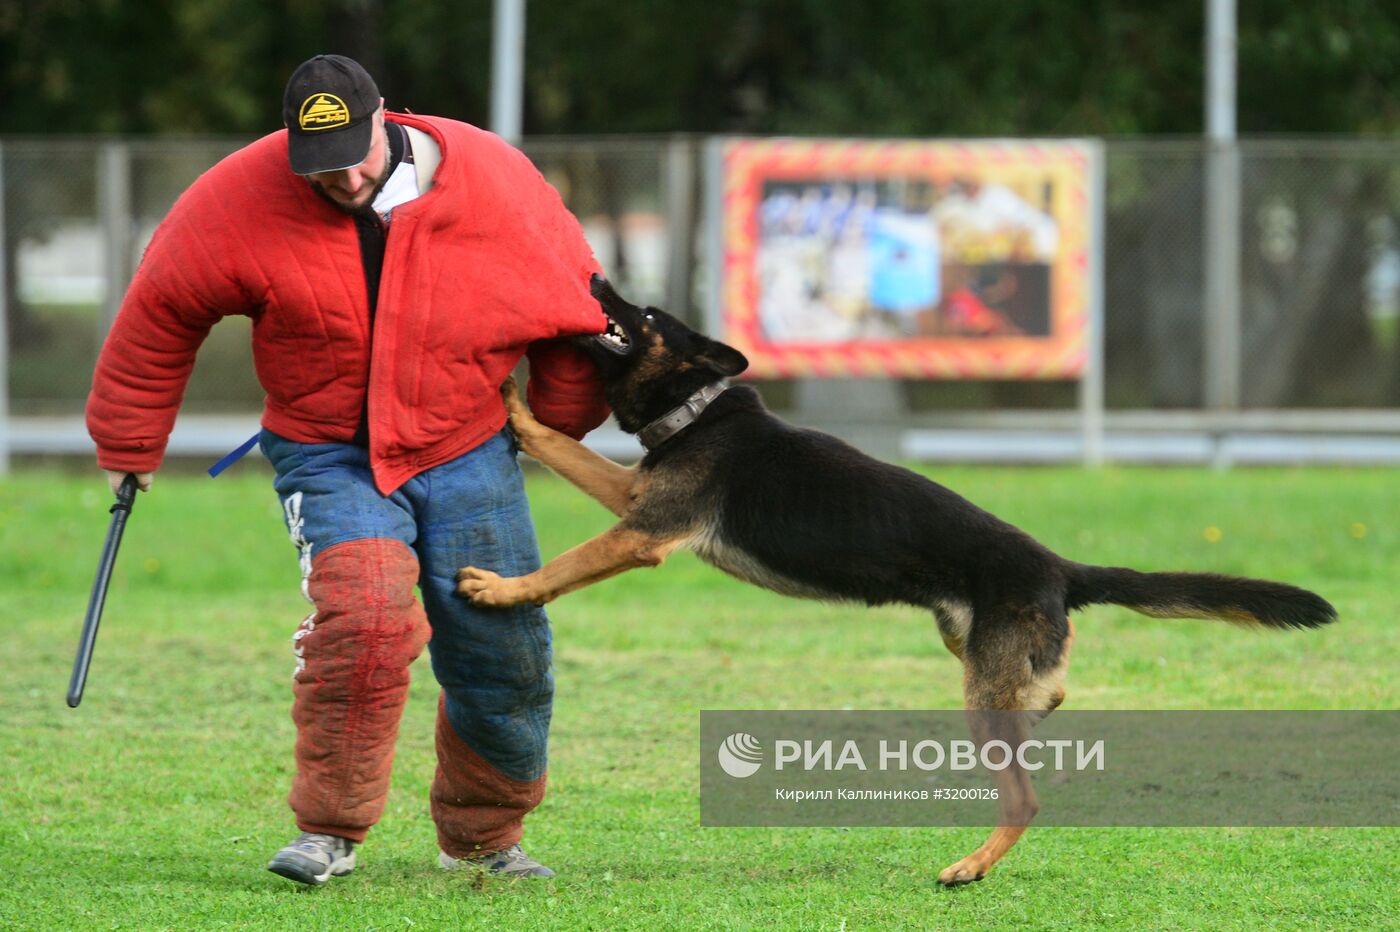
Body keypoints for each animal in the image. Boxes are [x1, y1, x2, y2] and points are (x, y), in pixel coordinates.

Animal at [459, 272, 1332, 884]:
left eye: (640, 315)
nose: (595, 276)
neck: (698, 406)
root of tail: (1058, 566)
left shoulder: (642, 532)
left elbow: (560, 567)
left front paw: (501, 590)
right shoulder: (633, 498)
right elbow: (562, 450)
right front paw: (515, 407)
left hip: (979, 692)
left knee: (1025, 793)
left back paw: (971, 867)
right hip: (972, 649)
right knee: (1048, 693)